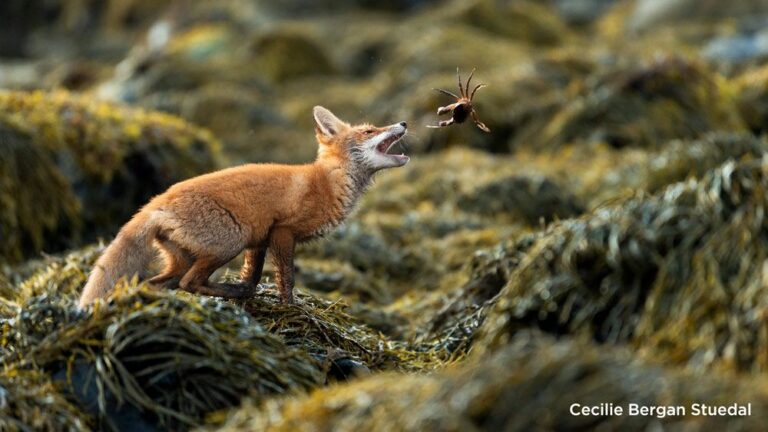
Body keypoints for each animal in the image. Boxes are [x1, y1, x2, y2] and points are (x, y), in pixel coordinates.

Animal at [79, 106, 409, 308]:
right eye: (369, 131)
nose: (404, 123)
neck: (326, 183)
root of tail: (155, 203)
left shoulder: (259, 240)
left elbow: (253, 275)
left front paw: (252, 292)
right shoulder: (282, 231)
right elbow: (286, 278)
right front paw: (290, 307)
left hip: (187, 256)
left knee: (153, 283)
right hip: (228, 243)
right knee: (189, 282)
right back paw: (226, 292)